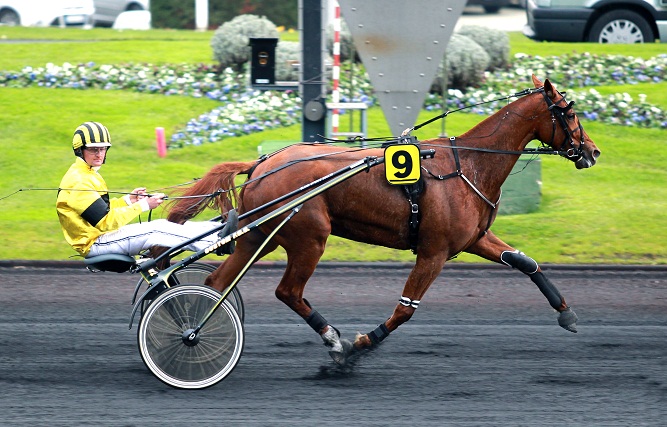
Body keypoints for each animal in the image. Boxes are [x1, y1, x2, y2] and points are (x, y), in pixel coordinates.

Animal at [166, 76, 600, 364]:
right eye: (570, 112)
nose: (592, 151)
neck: (470, 164)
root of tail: (263, 164)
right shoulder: (433, 252)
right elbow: (406, 308)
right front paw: (360, 344)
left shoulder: (474, 238)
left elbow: (526, 262)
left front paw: (566, 313)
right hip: (310, 237)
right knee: (287, 291)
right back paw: (332, 340)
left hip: (261, 235)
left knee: (217, 283)